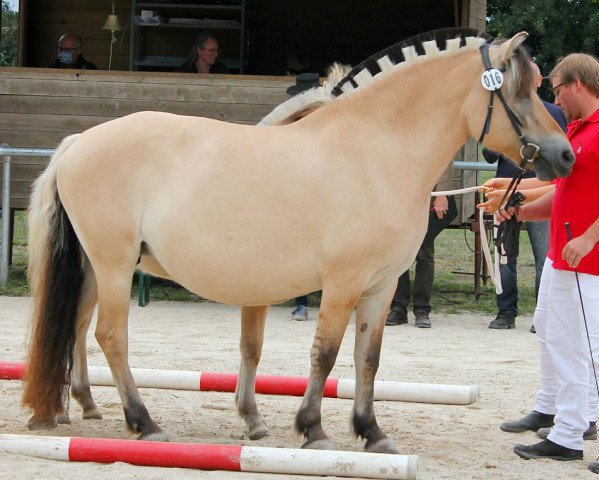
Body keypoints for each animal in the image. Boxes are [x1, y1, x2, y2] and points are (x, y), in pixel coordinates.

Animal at [23, 31, 576, 454]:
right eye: (520, 93)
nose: (566, 155)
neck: (377, 150)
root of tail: (79, 142)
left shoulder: (379, 288)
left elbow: (366, 359)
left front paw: (371, 432)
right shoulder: (343, 283)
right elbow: (325, 355)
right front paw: (312, 429)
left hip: (96, 268)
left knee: (77, 327)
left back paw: (85, 406)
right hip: (115, 266)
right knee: (110, 337)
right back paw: (144, 422)